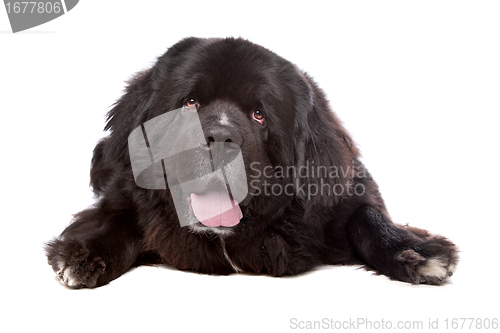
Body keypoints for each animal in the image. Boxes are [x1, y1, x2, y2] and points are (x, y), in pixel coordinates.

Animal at [46, 37, 458, 288]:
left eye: (259, 114)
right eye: (190, 103)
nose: (219, 137)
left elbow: (366, 215)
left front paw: (416, 251)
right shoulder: (126, 193)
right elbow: (118, 217)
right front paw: (86, 254)